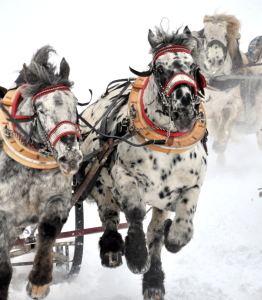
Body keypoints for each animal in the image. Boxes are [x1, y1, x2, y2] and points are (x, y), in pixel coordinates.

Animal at [0, 45, 82, 300]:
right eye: (40, 109)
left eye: (75, 104)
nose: (71, 155)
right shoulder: (3, 213)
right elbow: (3, 267)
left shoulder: (58, 197)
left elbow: (48, 229)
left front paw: (39, 281)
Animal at [80, 26, 209, 300]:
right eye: (159, 69)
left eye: (193, 67)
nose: (185, 111)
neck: (166, 143)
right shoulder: (124, 175)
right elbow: (135, 210)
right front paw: (137, 255)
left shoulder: (190, 186)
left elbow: (178, 231)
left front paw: (171, 240)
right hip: (98, 180)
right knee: (110, 213)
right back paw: (112, 248)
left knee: (155, 232)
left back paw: (154, 280)